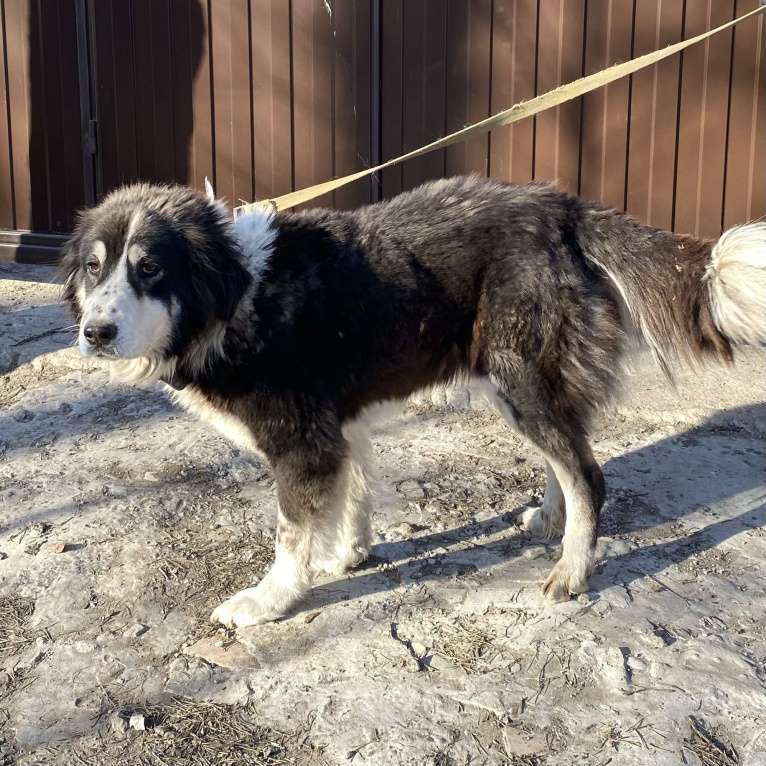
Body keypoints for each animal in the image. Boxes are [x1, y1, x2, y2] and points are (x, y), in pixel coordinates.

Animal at [61, 178, 766, 632]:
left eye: (151, 268)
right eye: (95, 269)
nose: (94, 333)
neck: (235, 296)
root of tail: (567, 210)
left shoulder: (300, 444)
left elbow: (290, 534)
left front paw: (270, 600)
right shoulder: (340, 428)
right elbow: (353, 496)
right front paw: (350, 552)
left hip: (521, 379)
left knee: (589, 474)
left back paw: (572, 568)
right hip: (519, 387)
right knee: (567, 459)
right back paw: (550, 519)